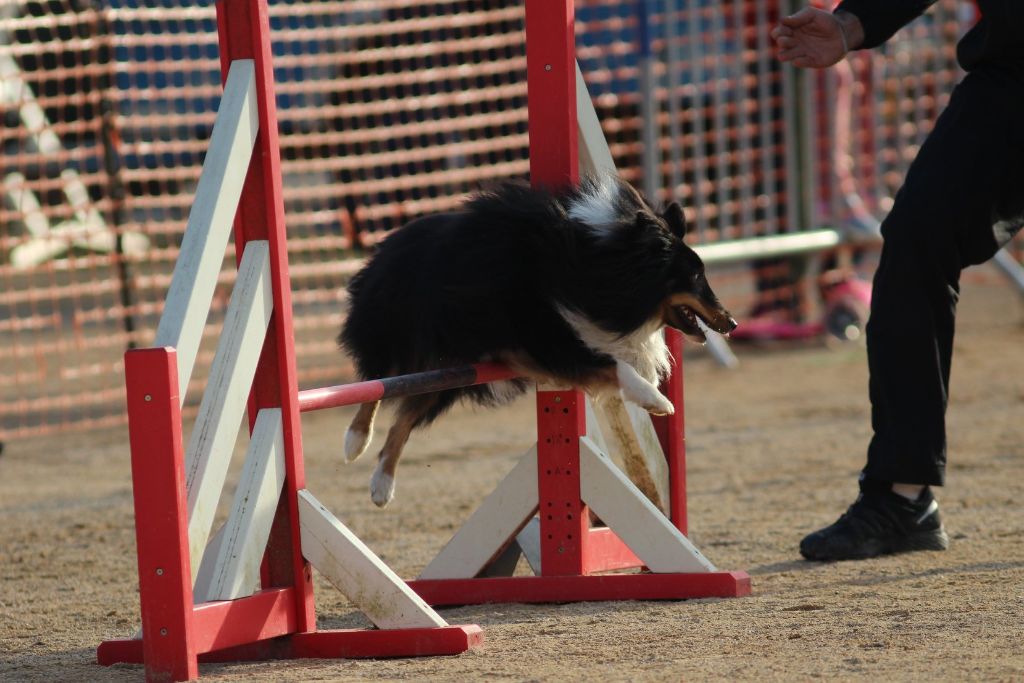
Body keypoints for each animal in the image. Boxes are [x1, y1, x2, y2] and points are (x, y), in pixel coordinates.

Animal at [342, 175, 737, 507]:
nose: (732, 322)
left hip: (446, 375)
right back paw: (355, 441)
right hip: (399, 339)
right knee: (374, 383)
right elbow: (616, 366)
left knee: (402, 420)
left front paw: (651, 393)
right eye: (696, 276)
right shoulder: (548, 342)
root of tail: (387, 243)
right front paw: (656, 399)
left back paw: (381, 485)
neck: (590, 262)